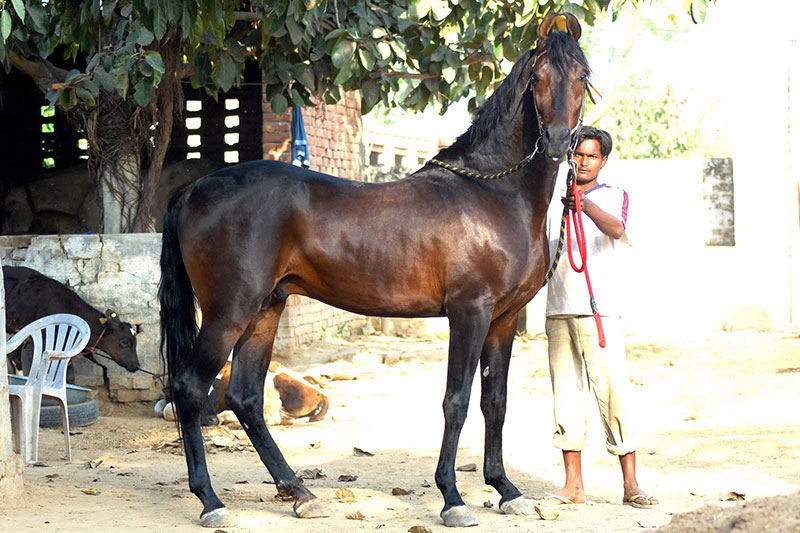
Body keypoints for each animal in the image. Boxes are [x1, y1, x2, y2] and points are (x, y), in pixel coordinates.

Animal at [159, 13, 590, 528]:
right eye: (538, 78)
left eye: (582, 77)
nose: (560, 142)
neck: (493, 195)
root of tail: (194, 189)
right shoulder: (469, 313)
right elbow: (457, 401)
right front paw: (452, 498)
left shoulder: (503, 321)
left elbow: (495, 403)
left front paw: (506, 489)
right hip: (229, 312)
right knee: (190, 388)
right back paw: (211, 501)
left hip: (265, 309)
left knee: (244, 397)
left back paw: (300, 492)